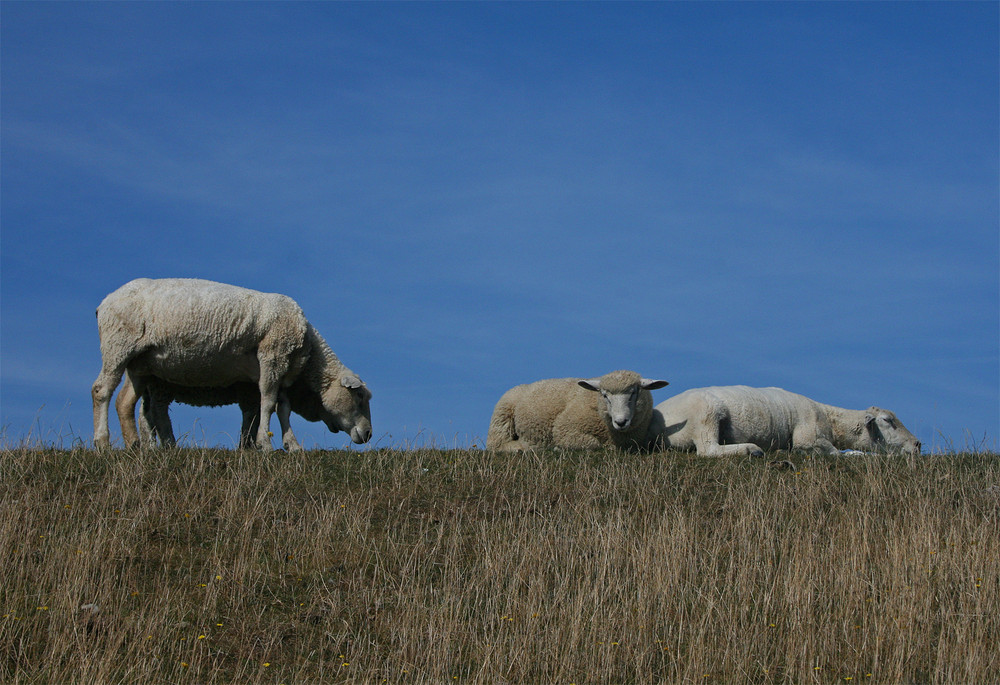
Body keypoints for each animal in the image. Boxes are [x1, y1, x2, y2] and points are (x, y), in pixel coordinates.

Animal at [94, 276, 372, 452]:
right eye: (358, 397)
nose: (368, 434)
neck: (308, 352)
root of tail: (105, 302)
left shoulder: (281, 369)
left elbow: (282, 408)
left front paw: (291, 445)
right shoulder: (272, 356)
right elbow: (267, 404)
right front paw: (264, 444)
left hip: (142, 363)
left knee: (126, 402)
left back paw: (136, 445)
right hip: (118, 346)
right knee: (102, 391)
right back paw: (103, 442)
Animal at [486, 372, 668, 452]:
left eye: (633, 393)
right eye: (604, 395)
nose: (620, 422)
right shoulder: (564, 429)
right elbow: (593, 444)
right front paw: (557, 448)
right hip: (502, 415)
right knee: (496, 445)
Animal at [648, 388, 920, 456]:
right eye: (888, 420)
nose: (917, 445)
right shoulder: (808, 438)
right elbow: (838, 453)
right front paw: (860, 455)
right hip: (706, 414)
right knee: (708, 450)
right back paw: (751, 449)